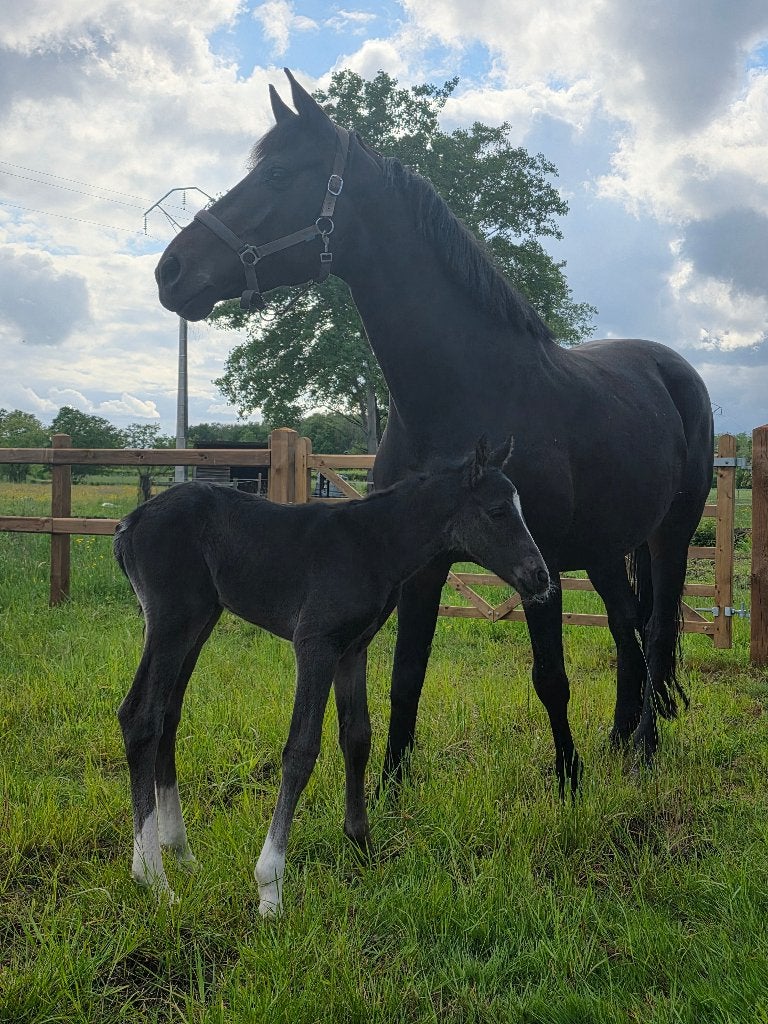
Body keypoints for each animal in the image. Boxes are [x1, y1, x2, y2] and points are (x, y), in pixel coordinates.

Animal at [114, 440, 550, 914]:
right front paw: (270, 886)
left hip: (200, 620)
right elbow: (301, 750)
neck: (372, 544)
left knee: (167, 714)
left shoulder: (352, 651)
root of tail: (129, 522)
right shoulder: (316, 645)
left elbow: (357, 738)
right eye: (497, 511)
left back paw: (181, 853)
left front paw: (362, 848)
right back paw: (153, 877)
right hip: (172, 620)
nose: (541, 576)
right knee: (140, 716)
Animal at [154, 69, 714, 799]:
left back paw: (644, 746)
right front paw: (390, 792)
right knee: (627, 628)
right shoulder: (420, 566)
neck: (464, 393)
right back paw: (620, 739)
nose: (170, 271)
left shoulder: (537, 569)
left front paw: (568, 784)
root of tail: (674, 371)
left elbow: (551, 678)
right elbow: (406, 678)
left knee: (657, 627)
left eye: (277, 175)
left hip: (670, 535)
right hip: (605, 548)